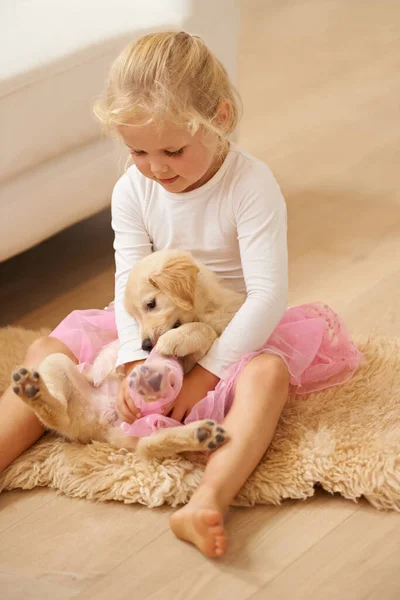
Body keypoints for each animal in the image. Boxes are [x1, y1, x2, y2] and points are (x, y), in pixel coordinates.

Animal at [11, 248, 244, 460]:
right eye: (134, 317)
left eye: (151, 304)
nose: (146, 346)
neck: (206, 308)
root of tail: (104, 424)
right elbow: (205, 330)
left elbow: (207, 331)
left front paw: (172, 340)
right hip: (56, 362)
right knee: (61, 416)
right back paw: (32, 390)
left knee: (148, 446)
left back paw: (202, 435)